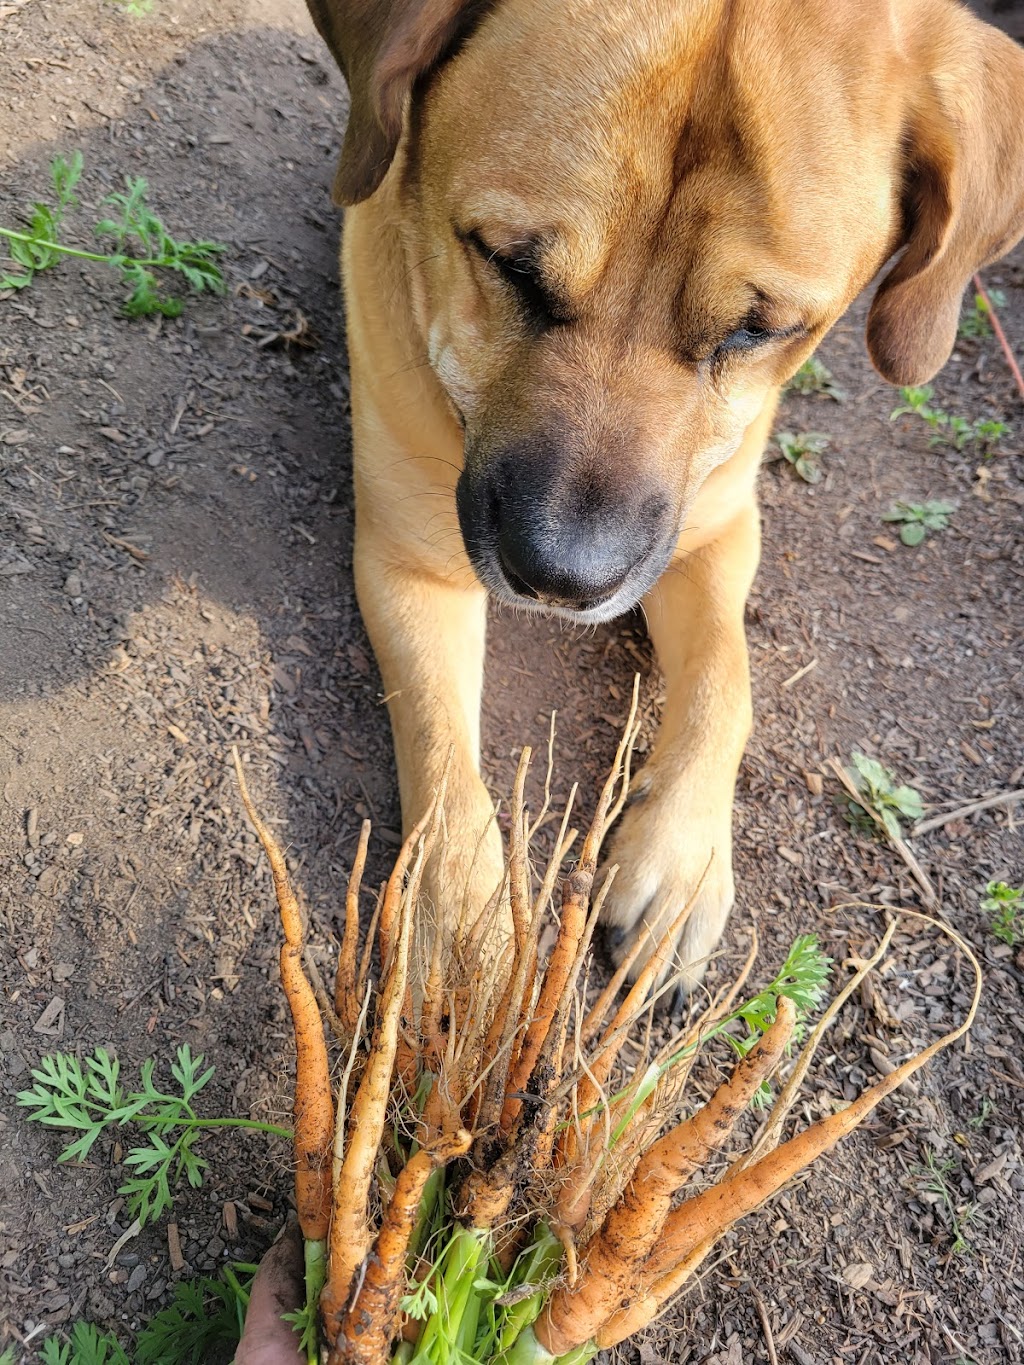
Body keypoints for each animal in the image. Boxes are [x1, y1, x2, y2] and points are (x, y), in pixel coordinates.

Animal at [304, 0, 1024, 982]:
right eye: (508, 262)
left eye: (759, 329)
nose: (563, 578)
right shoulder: (413, 562)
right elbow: (437, 733)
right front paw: (457, 915)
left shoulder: (714, 533)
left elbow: (729, 676)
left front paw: (678, 857)